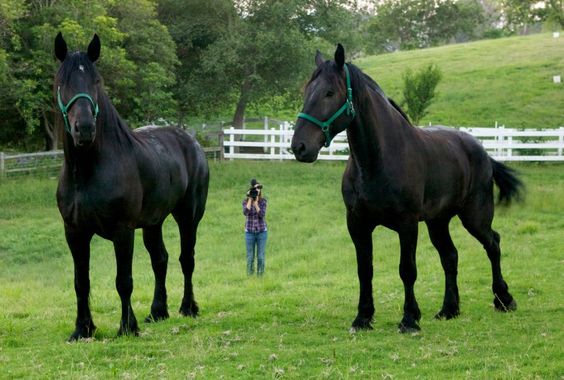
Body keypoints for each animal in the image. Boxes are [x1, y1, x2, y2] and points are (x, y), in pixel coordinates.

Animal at [54, 33, 209, 342]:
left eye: (96, 81)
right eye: (61, 82)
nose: (84, 128)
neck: (87, 173)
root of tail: (192, 141)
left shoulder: (122, 231)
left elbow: (123, 280)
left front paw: (127, 326)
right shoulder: (74, 232)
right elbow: (81, 282)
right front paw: (82, 329)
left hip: (188, 216)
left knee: (186, 259)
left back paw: (188, 307)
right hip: (153, 222)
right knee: (160, 259)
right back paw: (157, 311)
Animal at [290, 43, 524, 332]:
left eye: (329, 92)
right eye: (307, 91)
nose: (299, 147)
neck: (378, 160)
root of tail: (481, 150)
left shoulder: (408, 224)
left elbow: (407, 269)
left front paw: (410, 319)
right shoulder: (357, 223)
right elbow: (364, 269)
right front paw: (363, 318)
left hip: (475, 217)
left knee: (493, 244)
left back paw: (504, 299)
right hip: (438, 221)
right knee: (450, 256)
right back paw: (449, 309)